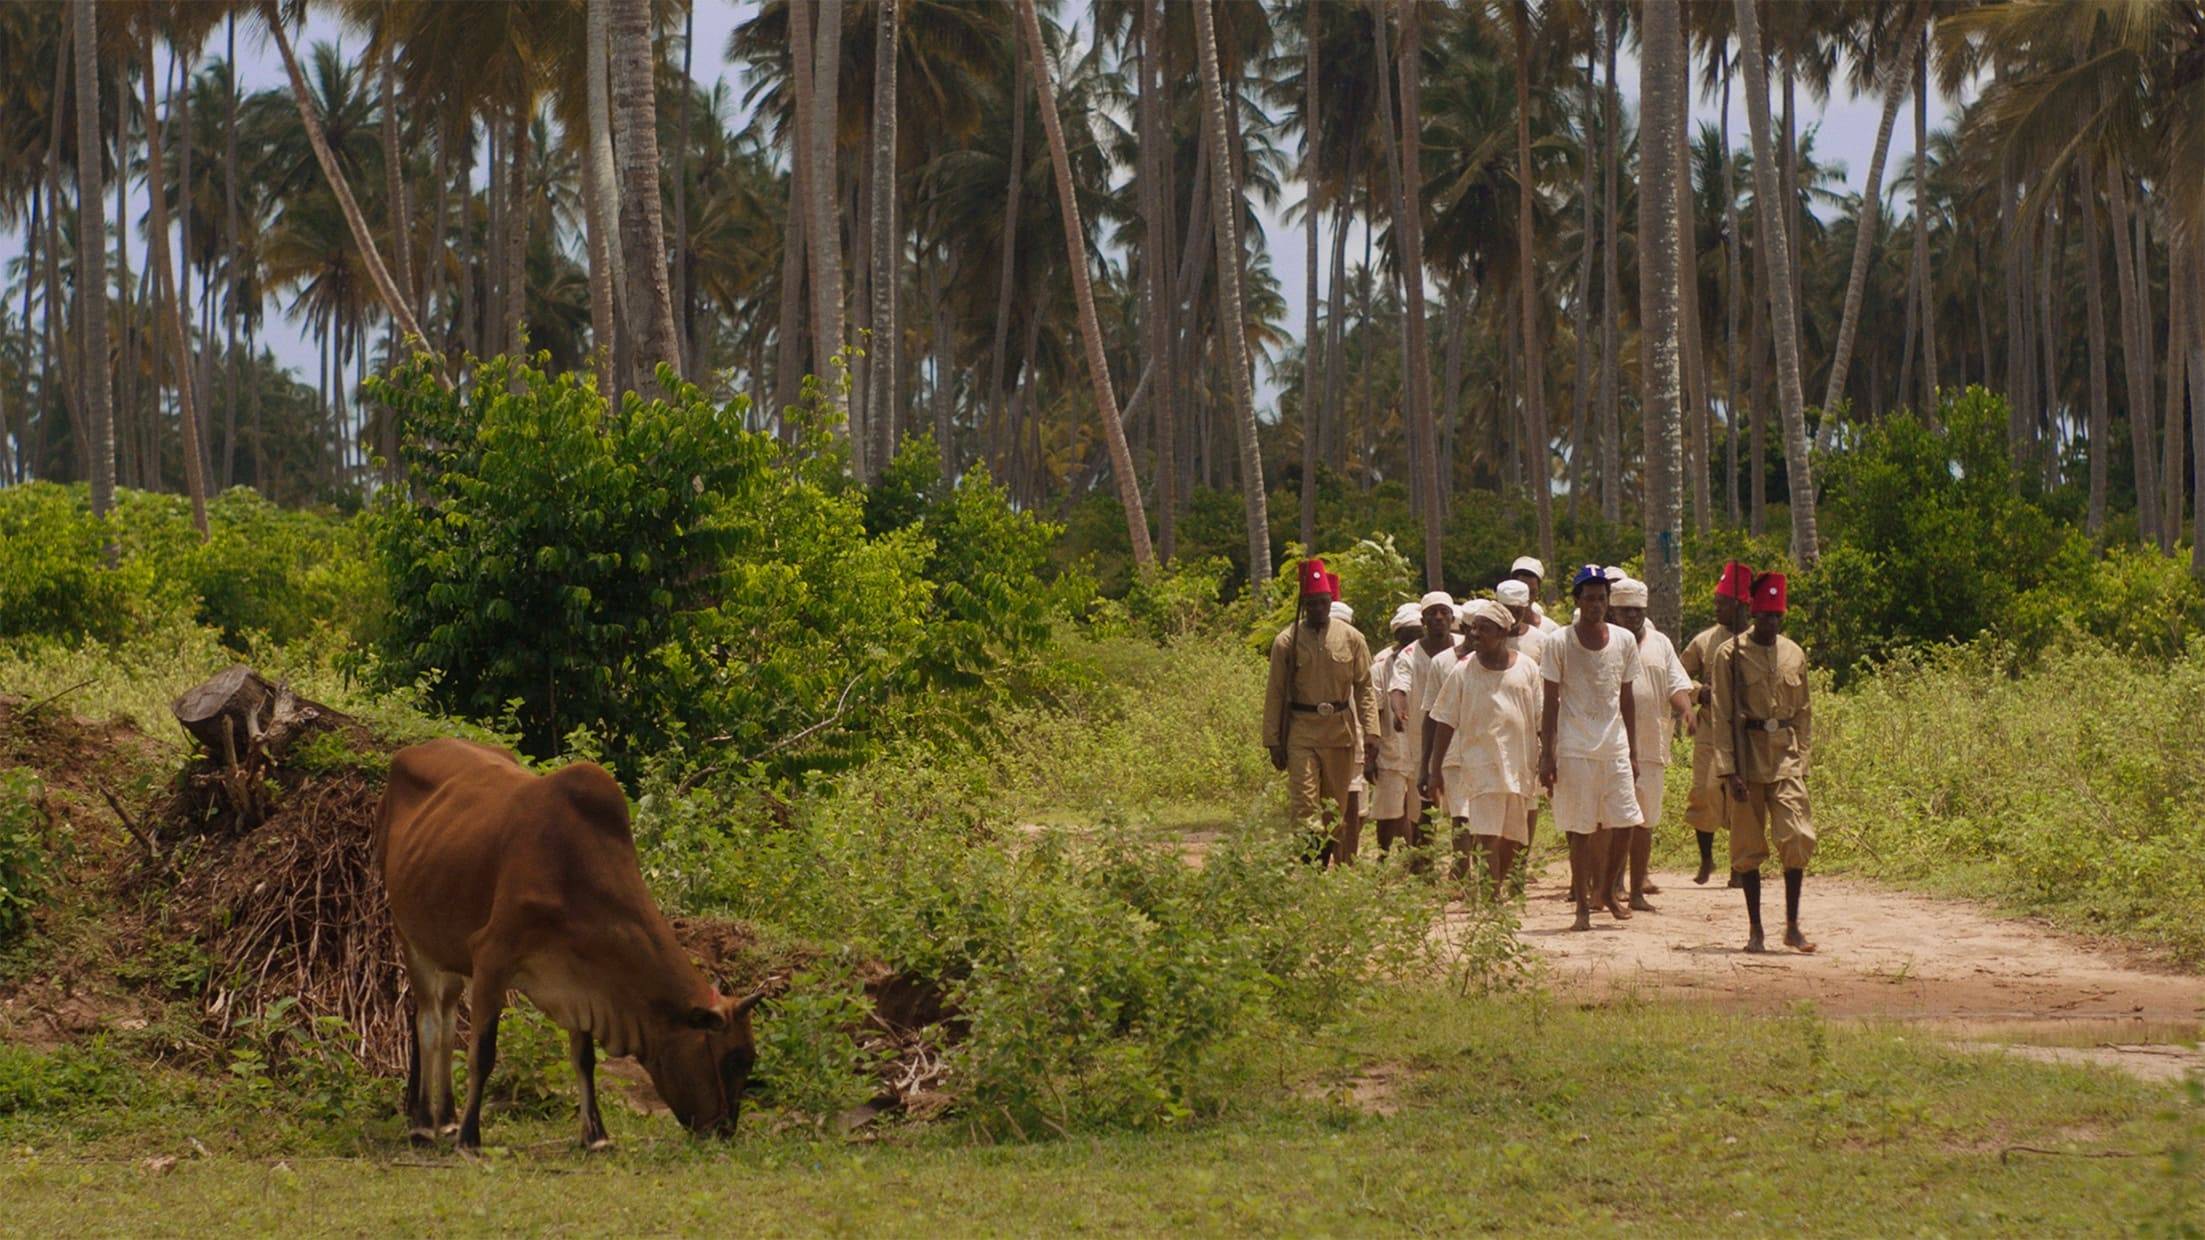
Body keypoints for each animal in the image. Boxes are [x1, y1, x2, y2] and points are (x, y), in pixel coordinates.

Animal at [374, 732, 762, 1147]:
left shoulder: (582, 980)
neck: (574, 870)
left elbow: (584, 1058)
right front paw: (469, 1137)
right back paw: (422, 1124)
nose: (724, 1131)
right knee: (429, 1022)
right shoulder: (491, 956)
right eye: (735, 1058)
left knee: (446, 1020)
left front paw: (596, 1135)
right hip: (409, 933)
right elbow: (482, 1053)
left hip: (448, 945)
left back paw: (445, 1118)